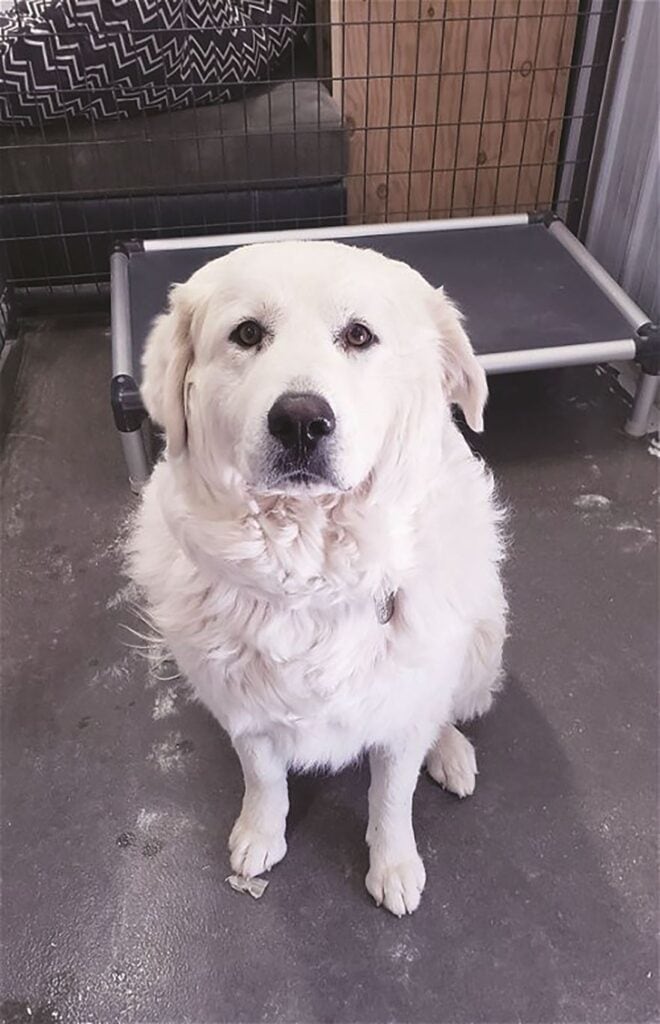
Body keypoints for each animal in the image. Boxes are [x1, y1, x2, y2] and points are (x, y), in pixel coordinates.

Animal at [129, 237, 509, 913]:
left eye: (359, 335)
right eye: (247, 333)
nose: (302, 421)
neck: (309, 573)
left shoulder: (401, 714)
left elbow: (392, 796)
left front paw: (394, 866)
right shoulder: (245, 709)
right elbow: (263, 778)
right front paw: (260, 835)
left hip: (480, 647)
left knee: (446, 710)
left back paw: (451, 752)